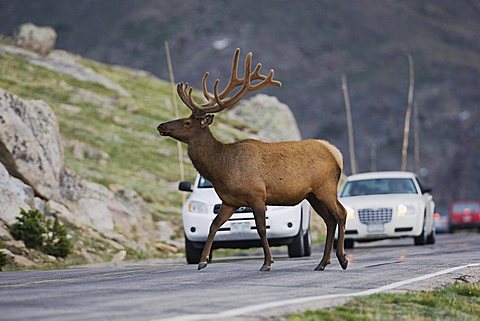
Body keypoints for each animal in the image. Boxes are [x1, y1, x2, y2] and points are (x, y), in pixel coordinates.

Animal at [158, 48, 348, 272]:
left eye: (187, 122)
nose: (161, 126)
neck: (221, 168)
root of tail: (335, 153)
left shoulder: (257, 194)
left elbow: (261, 229)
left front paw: (267, 263)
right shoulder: (230, 201)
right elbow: (213, 225)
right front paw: (202, 261)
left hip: (325, 187)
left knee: (341, 214)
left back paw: (342, 259)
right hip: (312, 195)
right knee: (330, 220)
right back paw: (322, 262)